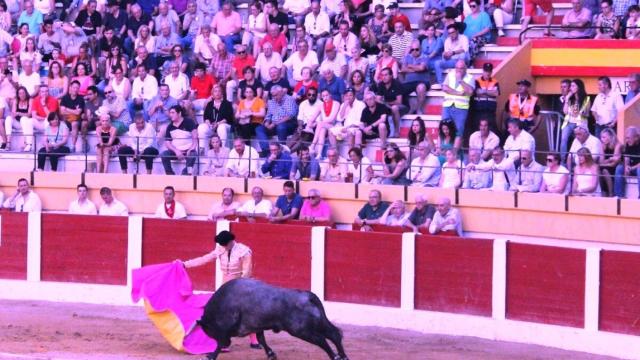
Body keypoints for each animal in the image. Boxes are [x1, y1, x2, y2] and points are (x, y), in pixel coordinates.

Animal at [200, 278, 350, 360]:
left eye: (209, 332)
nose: (228, 344)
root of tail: (308, 296)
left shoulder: (225, 330)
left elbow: (219, 343)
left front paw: (211, 356)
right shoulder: (257, 325)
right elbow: (261, 339)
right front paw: (271, 354)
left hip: (301, 330)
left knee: (322, 340)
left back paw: (335, 356)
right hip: (319, 323)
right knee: (334, 334)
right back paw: (343, 356)